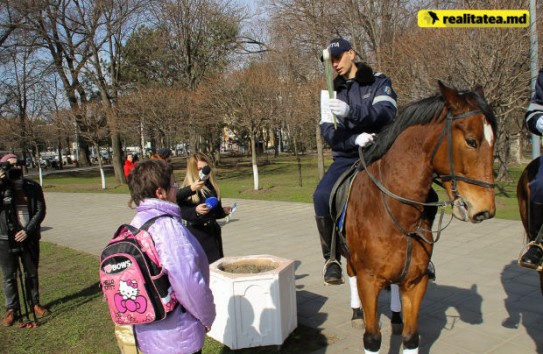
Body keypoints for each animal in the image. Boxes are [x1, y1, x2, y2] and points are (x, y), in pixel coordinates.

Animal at [348, 81, 498, 354]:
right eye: (471, 141)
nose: (485, 210)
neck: (397, 213)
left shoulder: (416, 282)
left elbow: (411, 338)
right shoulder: (368, 281)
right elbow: (372, 338)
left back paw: (396, 317)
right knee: (348, 272)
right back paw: (356, 313)